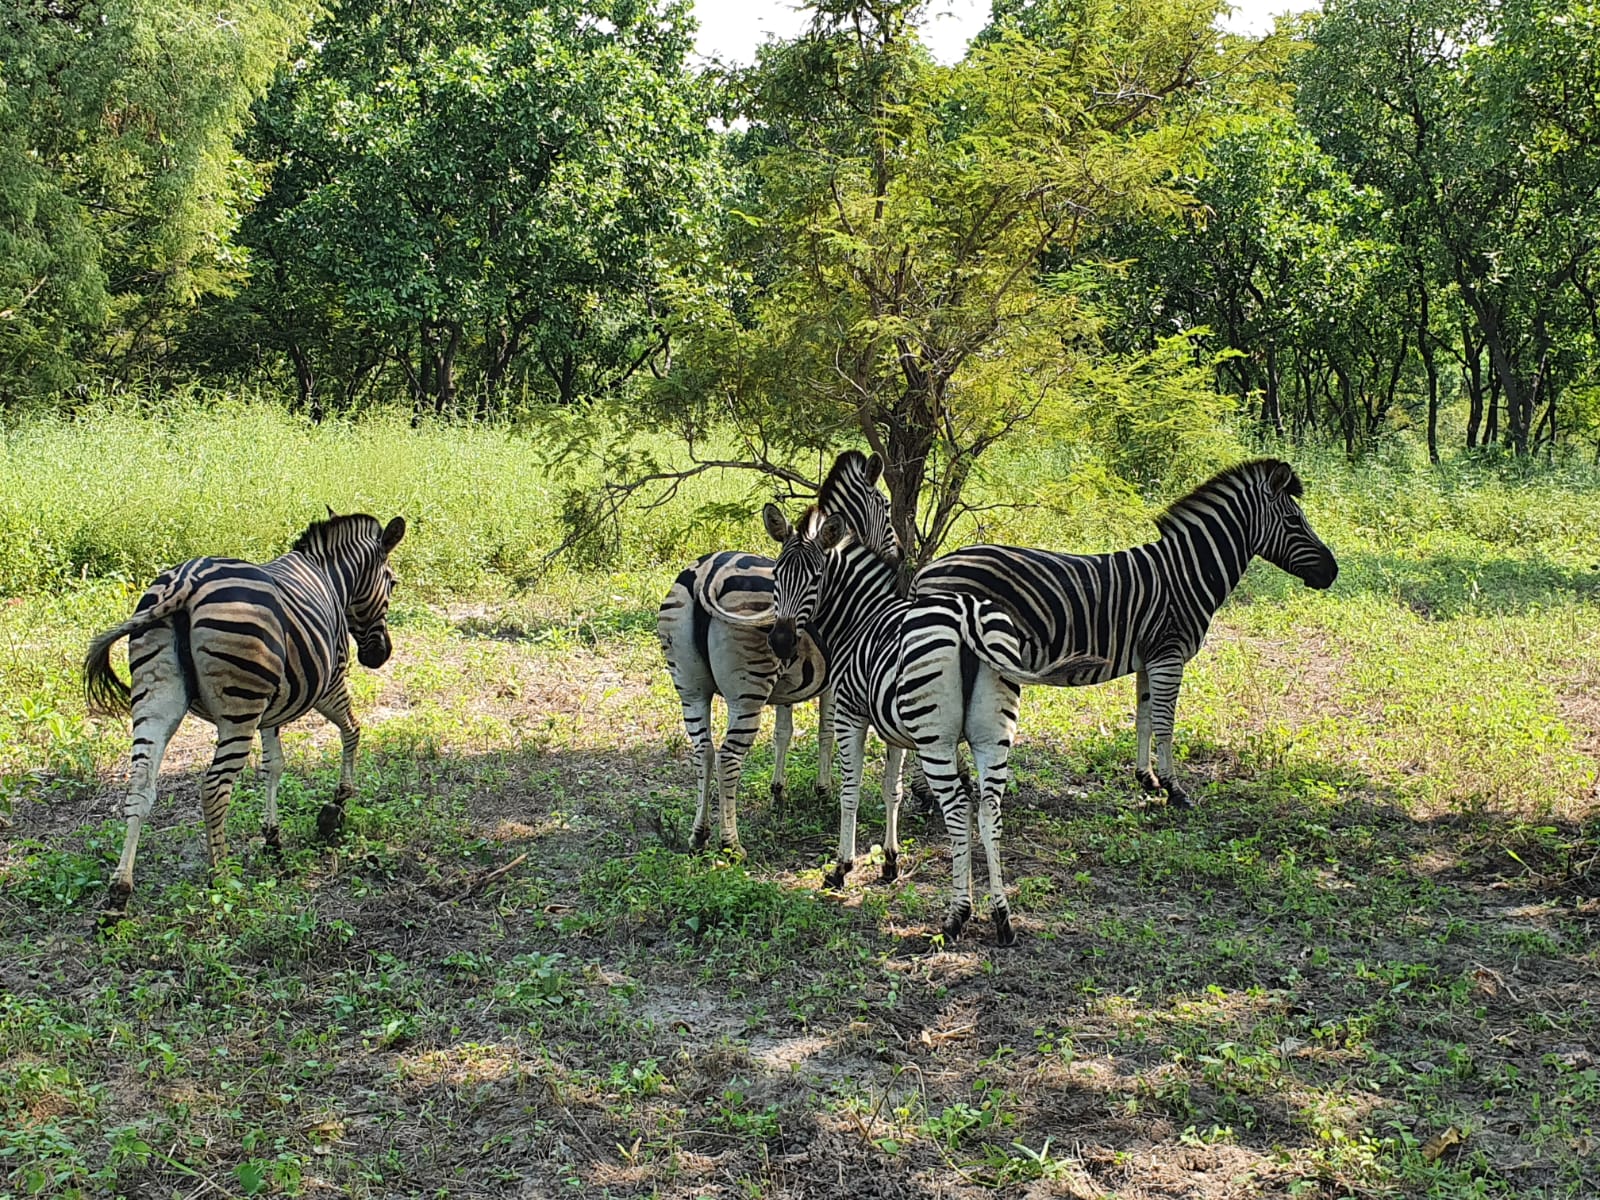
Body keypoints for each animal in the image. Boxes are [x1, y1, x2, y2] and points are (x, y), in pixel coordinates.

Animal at [82, 512, 409, 915]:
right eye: (392, 582)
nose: (380, 655)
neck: (330, 578)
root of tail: (186, 582)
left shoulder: (273, 708)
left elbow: (274, 766)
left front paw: (273, 838)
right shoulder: (329, 683)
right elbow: (352, 731)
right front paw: (335, 807)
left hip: (155, 699)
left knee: (141, 785)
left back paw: (119, 890)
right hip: (240, 709)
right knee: (214, 787)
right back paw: (221, 878)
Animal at [652, 451, 902, 857]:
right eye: (885, 505)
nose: (899, 555)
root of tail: (705, 575)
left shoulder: (788, 686)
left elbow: (784, 732)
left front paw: (778, 791)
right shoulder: (833, 683)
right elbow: (825, 731)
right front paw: (822, 791)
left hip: (689, 686)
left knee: (703, 751)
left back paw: (699, 834)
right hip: (747, 692)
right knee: (728, 757)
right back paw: (731, 844)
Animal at [713, 502, 1100, 947]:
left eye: (815, 577)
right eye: (777, 575)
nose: (779, 642)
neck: (860, 616)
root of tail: (968, 616)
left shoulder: (850, 714)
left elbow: (851, 792)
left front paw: (841, 868)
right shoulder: (896, 729)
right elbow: (892, 790)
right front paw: (890, 861)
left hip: (936, 741)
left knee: (959, 808)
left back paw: (956, 916)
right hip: (992, 738)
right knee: (989, 811)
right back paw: (1002, 918)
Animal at [915, 460, 1337, 809]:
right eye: (1295, 522)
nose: (1332, 573)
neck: (1189, 573)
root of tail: (927, 571)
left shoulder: (1151, 659)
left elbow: (1145, 718)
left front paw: (1147, 779)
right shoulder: (1169, 655)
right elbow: (1166, 723)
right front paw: (1175, 790)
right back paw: (932, 796)